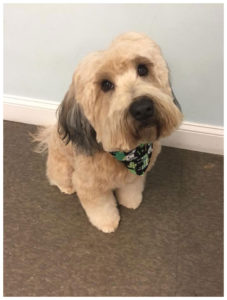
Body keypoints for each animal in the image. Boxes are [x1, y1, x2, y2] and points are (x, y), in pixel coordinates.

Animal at [33, 33, 183, 234]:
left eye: (142, 69)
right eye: (105, 84)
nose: (143, 108)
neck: (128, 152)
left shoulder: (133, 176)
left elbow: (130, 189)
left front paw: (131, 202)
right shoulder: (90, 185)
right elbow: (101, 208)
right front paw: (107, 223)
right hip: (62, 168)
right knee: (56, 177)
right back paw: (66, 187)